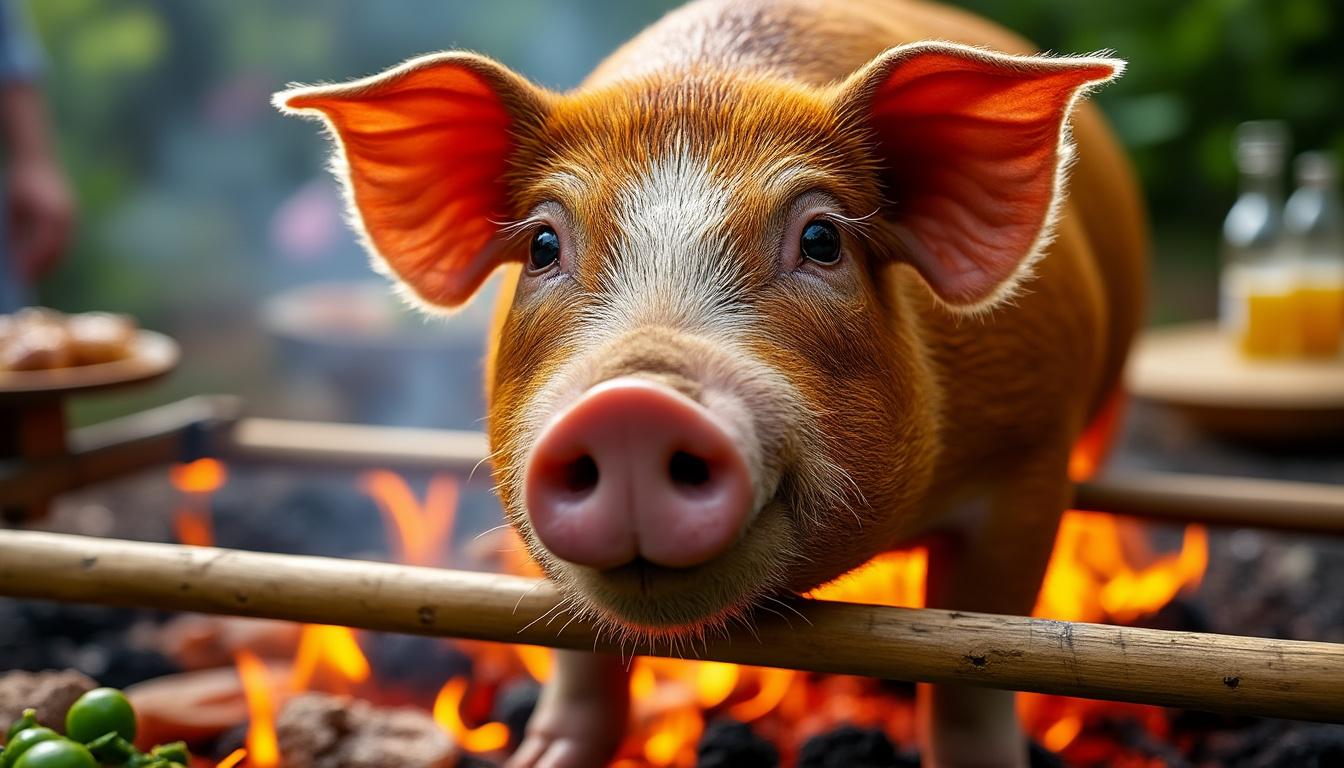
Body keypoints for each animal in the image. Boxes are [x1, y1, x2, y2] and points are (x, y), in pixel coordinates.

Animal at [275, 0, 1146, 764]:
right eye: (543, 246)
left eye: (823, 239)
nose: (632, 404)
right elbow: (578, 650)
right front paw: (542, 760)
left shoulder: (1031, 458)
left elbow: (981, 664)